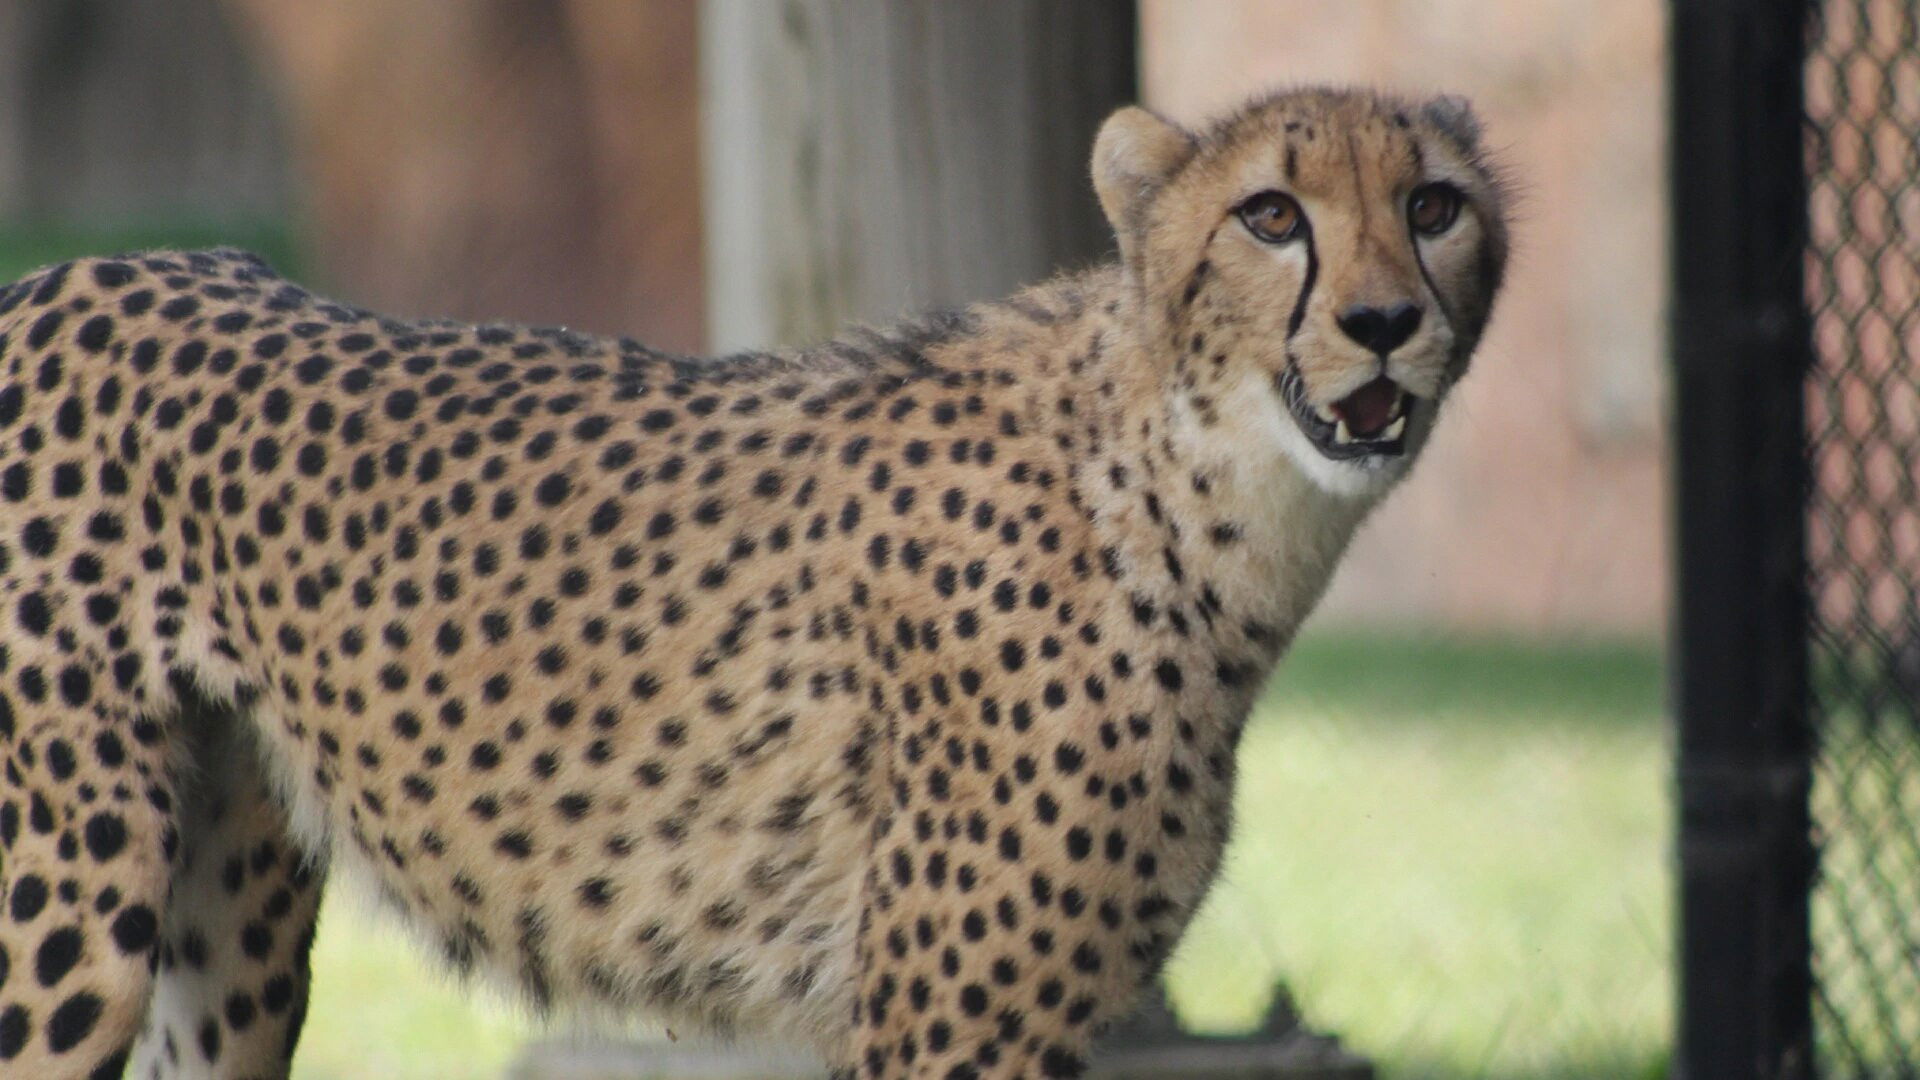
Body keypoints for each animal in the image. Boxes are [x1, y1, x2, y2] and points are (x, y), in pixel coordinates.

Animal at [0, 85, 1507, 1079]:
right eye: (1271, 215)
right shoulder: (943, 1035)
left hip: (233, 927)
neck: (1192, 490)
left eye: (1433, 206)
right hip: (67, 909)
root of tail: (73, 272)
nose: (1384, 323)